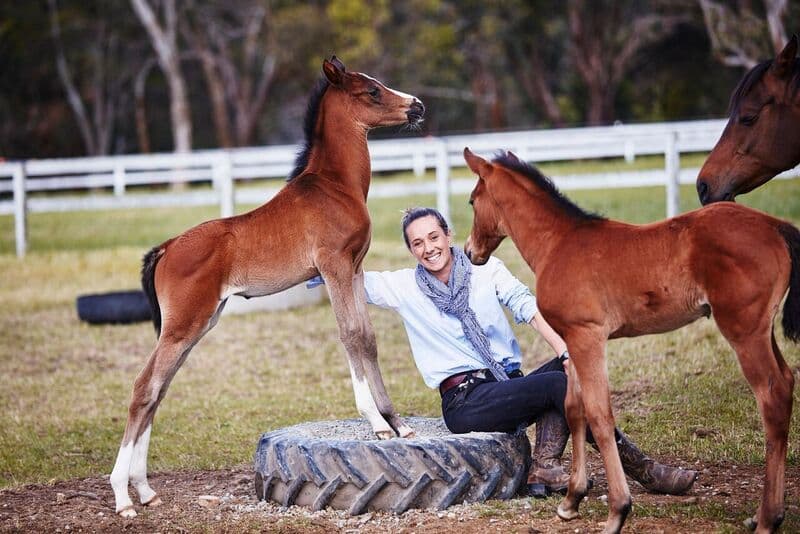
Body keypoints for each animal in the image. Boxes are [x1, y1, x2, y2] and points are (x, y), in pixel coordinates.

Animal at [109, 57, 425, 518]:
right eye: (371, 91)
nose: (417, 106)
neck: (335, 186)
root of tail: (166, 248)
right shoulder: (332, 267)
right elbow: (350, 334)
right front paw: (377, 423)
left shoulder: (355, 269)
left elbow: (367, 338)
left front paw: (396, 423)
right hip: (183, 325)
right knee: (143, 388)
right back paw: (122, 497)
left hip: (196, 325)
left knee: (158, 389)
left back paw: (145, 491)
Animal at [462, 148, 799, 534]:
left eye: (472, 200)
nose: (470, 252)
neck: (558, 243)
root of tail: (775, 225)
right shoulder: (573, 341)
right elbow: (574, 409)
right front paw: (572, 499)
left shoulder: (588, 337)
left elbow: (599, 414)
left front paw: (617, 511)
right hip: (762, 330)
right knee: (786, 382)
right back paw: (764, 514)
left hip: (743, 331)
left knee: (772, 396)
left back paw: (768, 519)